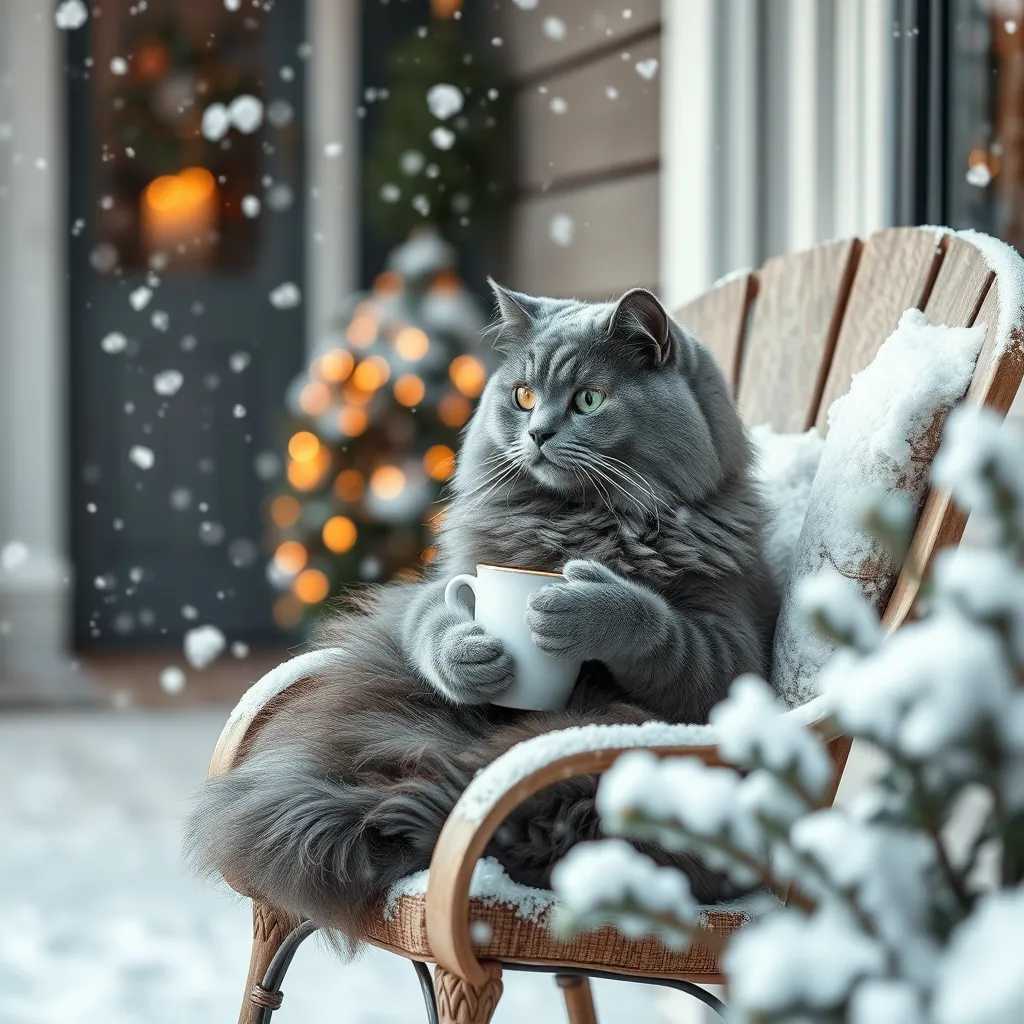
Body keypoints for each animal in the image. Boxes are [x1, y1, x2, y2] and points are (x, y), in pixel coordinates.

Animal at [186, 284, 774, 937]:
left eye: (588, 399)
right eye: (523, 396)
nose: (538, 433)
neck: (581, 520)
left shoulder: (729, 653)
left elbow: (657, 628)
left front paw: (583, 607)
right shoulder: (447, 583)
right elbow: (435, 623)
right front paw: (473, 659)